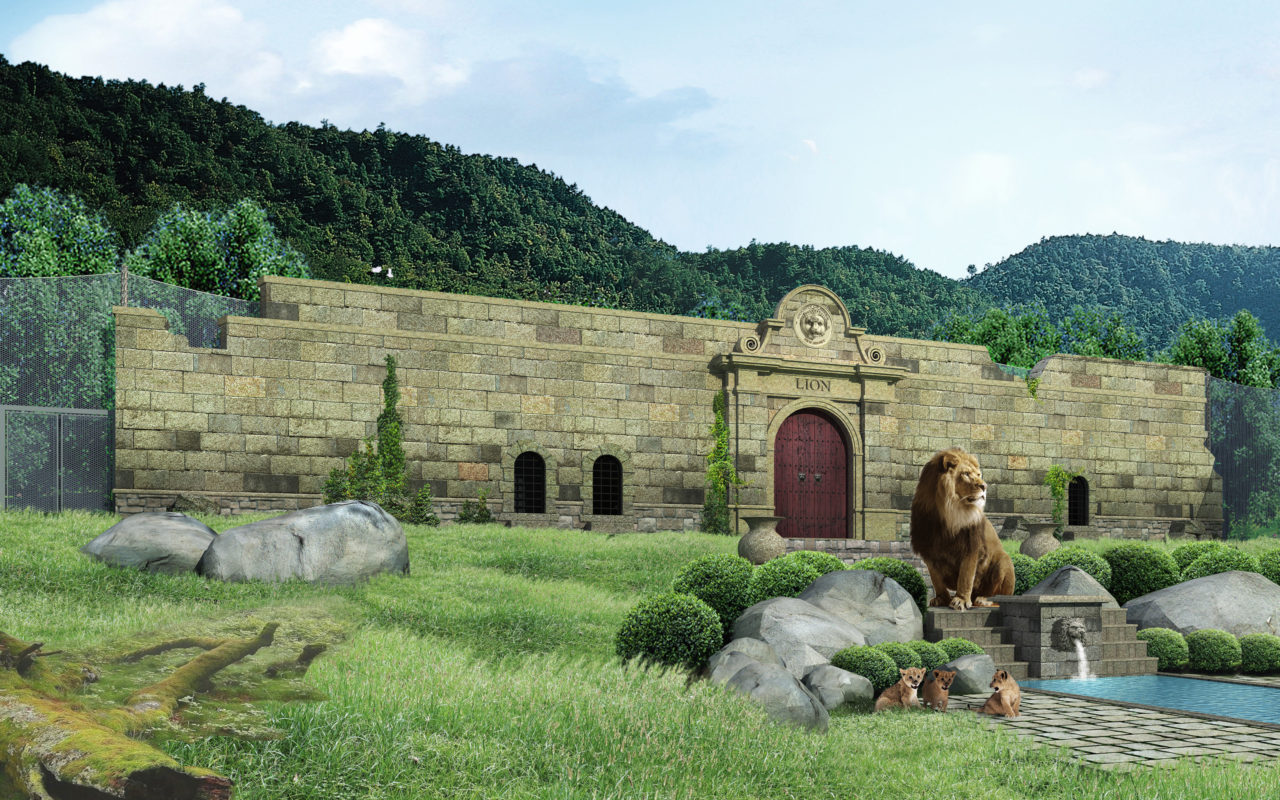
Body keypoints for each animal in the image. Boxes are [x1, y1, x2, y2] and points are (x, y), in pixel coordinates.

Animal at [909, 447, 1015, 610]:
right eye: (966, 474)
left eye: (978, 475)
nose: (984, 486)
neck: (947, 513)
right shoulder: (928, 549)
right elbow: (936, 579)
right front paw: (942, 599)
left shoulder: (971, 547)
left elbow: (965, 576)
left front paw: (961, 600)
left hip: (1004, 560)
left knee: (1000, 596)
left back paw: (983, 599)